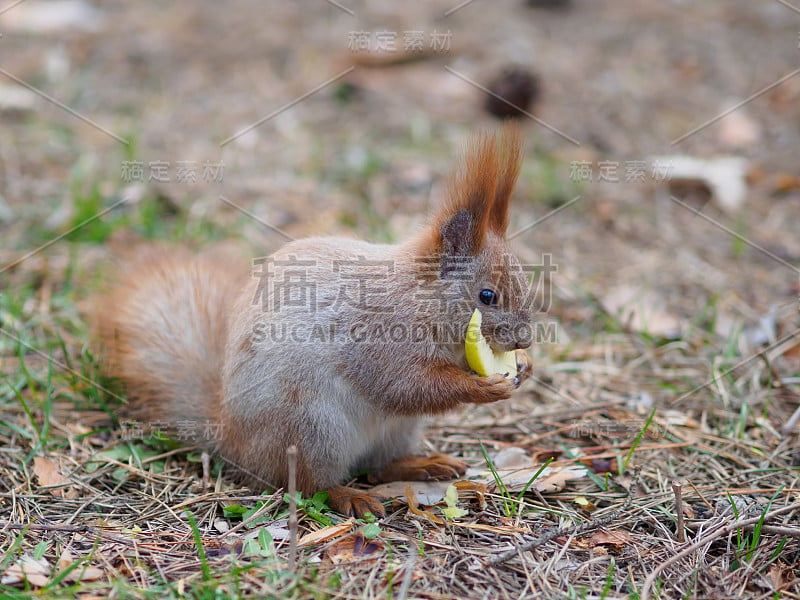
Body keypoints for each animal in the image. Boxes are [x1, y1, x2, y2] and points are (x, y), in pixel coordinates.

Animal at [95, 124, 532, 516]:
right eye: (487, 296)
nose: (524, 340)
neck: (421, 300)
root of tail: (235, 443)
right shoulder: (376, 336)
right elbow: (405, 385)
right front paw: (484, 387)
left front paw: (523, 368)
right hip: (313, 431)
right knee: (307, 485)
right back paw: (348, 496)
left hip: (397, 430)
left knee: (377, 466)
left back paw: (420, 464)